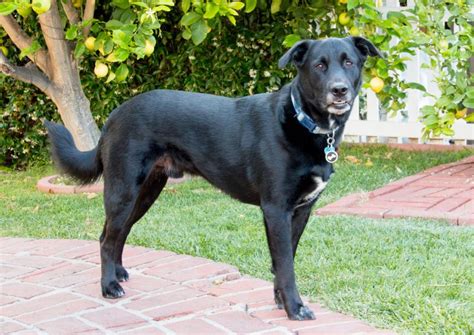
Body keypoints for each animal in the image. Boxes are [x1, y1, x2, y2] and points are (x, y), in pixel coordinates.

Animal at [46, 36, 382, 320]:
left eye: (348, 62)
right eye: (319, 66)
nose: (339, 89)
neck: (305, 123)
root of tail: (115, 115)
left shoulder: (301, 211)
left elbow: (284, 259)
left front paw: (280, 300)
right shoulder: (276, 209)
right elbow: (286, 264)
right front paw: (294, 307)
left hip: (146, 191)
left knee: (118, 233)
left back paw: (118, 273)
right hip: (123, 189)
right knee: (106, 238)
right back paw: (108, 286)